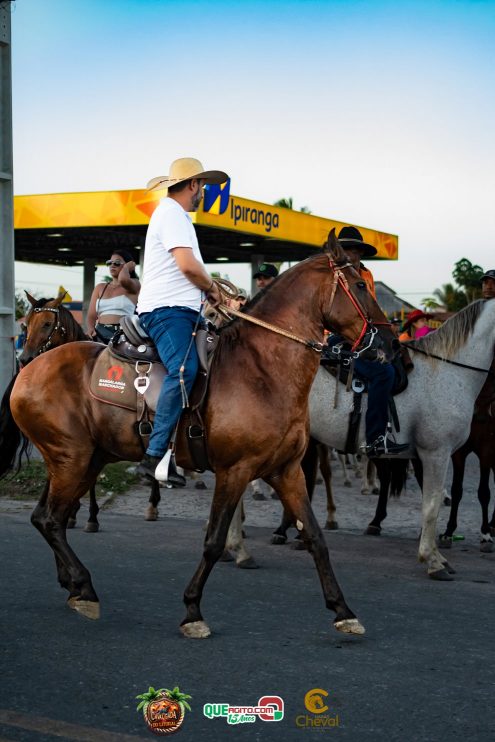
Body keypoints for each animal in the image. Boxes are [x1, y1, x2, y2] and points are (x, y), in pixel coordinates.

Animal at [5, 235, 398, 636]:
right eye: (361, 285)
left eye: (46, 324)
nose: (389, 342)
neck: (262, 370)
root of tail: (31, 371)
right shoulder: (235, 470)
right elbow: (214, 540)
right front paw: (193, 610)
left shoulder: (286, 471)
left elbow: (316, 536)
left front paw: (343, 610)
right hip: (73, 459)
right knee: (49, 519)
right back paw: (83, 586)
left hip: (84, 461)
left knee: (47, 517)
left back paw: (74, 585)